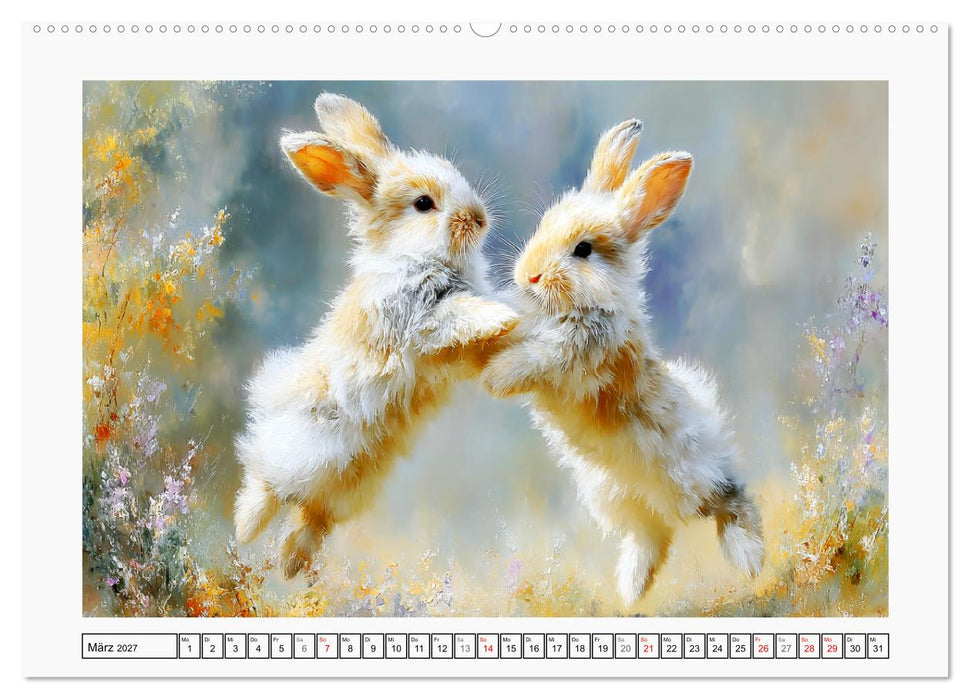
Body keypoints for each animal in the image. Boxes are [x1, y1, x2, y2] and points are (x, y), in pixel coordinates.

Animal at [234, 93, 517, 578]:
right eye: (423, 204)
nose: (478, 219)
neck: (413, 255)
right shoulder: (415, 319)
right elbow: (456, 314)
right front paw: (502, 316)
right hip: (295, 452)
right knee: (263, 480)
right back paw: (245, 530)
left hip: (348, 486)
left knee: (310, 516)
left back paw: (289, 565)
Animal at [481, 119, 764, 607]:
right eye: (543, 225)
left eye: (583, 250)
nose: (529, 275)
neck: (588, 303)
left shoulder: (581, 353)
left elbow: (538, 357)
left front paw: (496, 378)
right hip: (615, 497)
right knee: (654, 537)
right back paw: (630, 592)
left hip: (693, 479)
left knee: (733, 500)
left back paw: (749, 559)